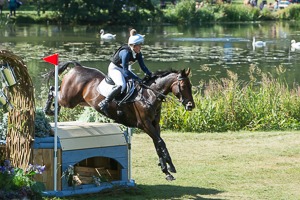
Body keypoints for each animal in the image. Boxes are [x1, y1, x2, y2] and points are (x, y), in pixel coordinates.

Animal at [43, 60, 196, 180]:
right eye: (183, 86)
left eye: (191, 86)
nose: (191, 105)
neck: (149, 94)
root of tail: (78, 67)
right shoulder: (145, 124)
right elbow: (160, 142)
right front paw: (170, 166)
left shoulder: (154, 124)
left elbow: (158, 143)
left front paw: (166, 169)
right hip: (69, 99)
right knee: (53, 90)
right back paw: (48, 109)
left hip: (77, 100)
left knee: (56, 89)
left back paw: (52, 110)